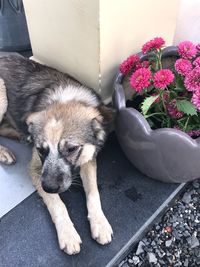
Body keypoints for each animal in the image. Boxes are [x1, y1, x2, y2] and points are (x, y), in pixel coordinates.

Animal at [0, 55, 115, 256]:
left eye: (71, 149)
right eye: (41, 150)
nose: (49, 187)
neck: (64, 100)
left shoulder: (88, 157)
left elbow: (93, 192)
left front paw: (99, 223)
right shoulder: (36, 169)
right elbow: (57, 203)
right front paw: (67, 234)